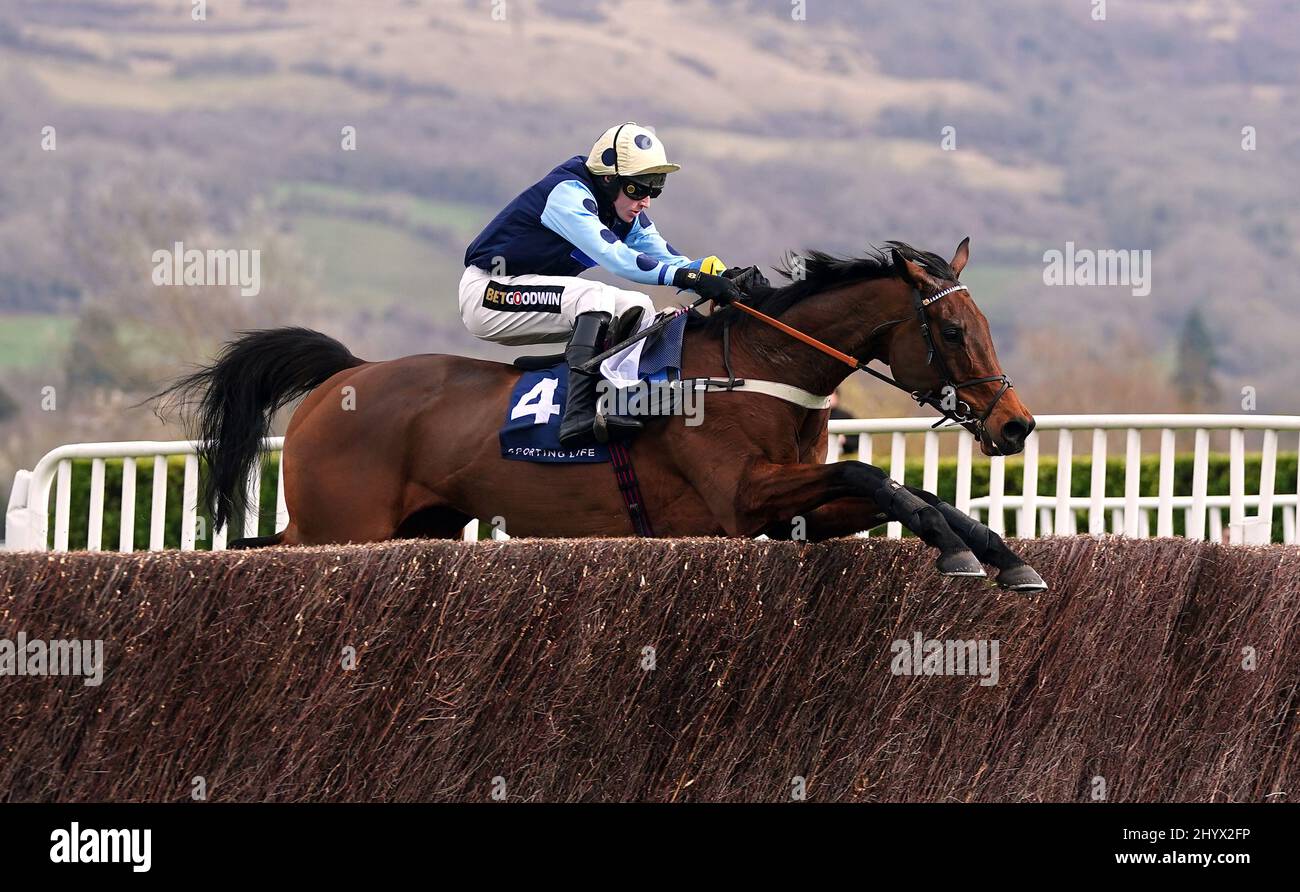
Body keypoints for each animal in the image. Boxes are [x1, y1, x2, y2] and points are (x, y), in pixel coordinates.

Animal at [154, 237, 1045, 590]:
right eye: (954, 332)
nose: (1016, 424)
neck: (763, 367)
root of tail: (349, 374)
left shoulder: (796, 510)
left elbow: (909, 493)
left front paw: (1000, 554)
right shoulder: (740, 499)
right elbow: (872, 474)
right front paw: (966, 556)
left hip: (415, 529)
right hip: (344, 527)